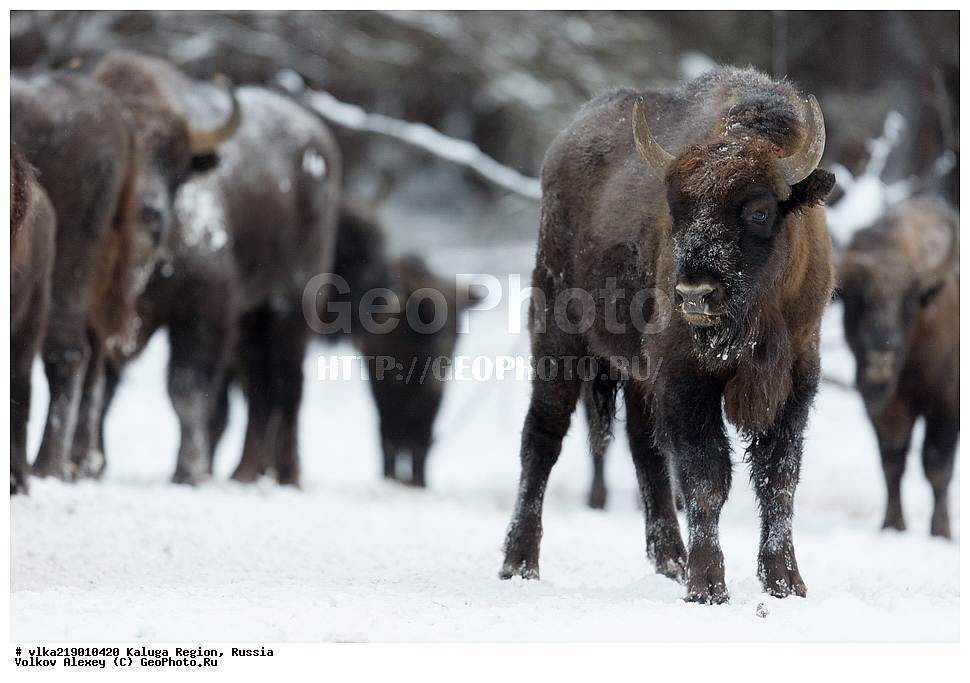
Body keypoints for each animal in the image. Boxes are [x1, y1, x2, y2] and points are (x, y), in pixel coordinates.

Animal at [499, 66, 836, 604]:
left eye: (759, 210)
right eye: (677, 210)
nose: (695, 293)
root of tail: (567, 138)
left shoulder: (796, 377)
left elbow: (778, 478)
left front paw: (785, 584)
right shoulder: (685, 378)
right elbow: (705, 477)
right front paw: (708, 587)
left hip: (638, 375)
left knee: (645, 452)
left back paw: (670, 562)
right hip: (557, 339)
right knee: (542, 436)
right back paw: (519, 563)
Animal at [837, 198, 959, 538]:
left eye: (907, 303)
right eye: (855, 300)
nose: (880, 359)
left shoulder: (946, 404)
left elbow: (936, 464)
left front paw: (941, 531)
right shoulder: (885, 408)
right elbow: (892, 462)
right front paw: (892, 525)